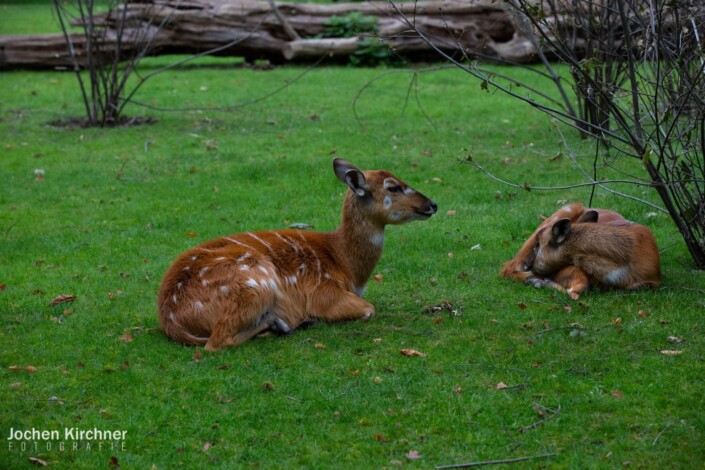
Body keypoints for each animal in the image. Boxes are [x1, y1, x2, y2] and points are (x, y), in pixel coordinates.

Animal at [157, 158, 438, 348]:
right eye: (393, 187)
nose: (432, 204)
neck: (347, 266)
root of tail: (170, 318)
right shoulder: (324, 292)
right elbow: (369, 309)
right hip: (254, 279)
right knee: (217, 341)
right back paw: (286, 323)